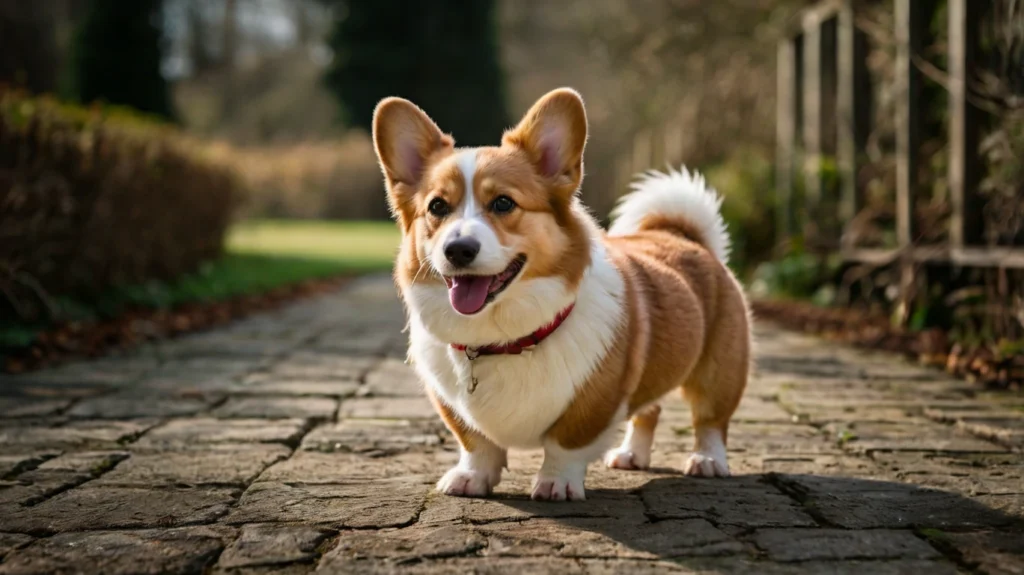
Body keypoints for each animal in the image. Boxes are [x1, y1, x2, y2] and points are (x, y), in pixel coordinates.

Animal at [372, 87, 749, 499]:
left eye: (503, 202)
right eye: (437, 206)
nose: (458, 250)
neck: (503, 338)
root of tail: (681, 234)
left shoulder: (595, 402)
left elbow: (565, 444)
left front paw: (556, 484)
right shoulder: (452, 406)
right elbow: (477, 443)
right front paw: (471, 477)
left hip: (718, 374)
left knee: (710, 421)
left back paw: (707, 460)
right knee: (648, 411)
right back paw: (631, 455)